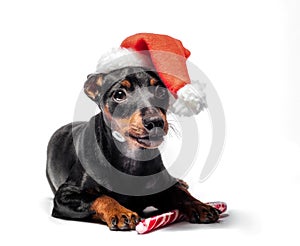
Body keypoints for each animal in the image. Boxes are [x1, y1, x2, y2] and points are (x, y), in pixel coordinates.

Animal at [47, 66, 220, 231]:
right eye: (119, 94)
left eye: (160, 91)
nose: (155, 121)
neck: (131, 156)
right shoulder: (65, 195)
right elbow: (101, 197)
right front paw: (120, 212)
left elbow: (180, 194)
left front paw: (200, 205)